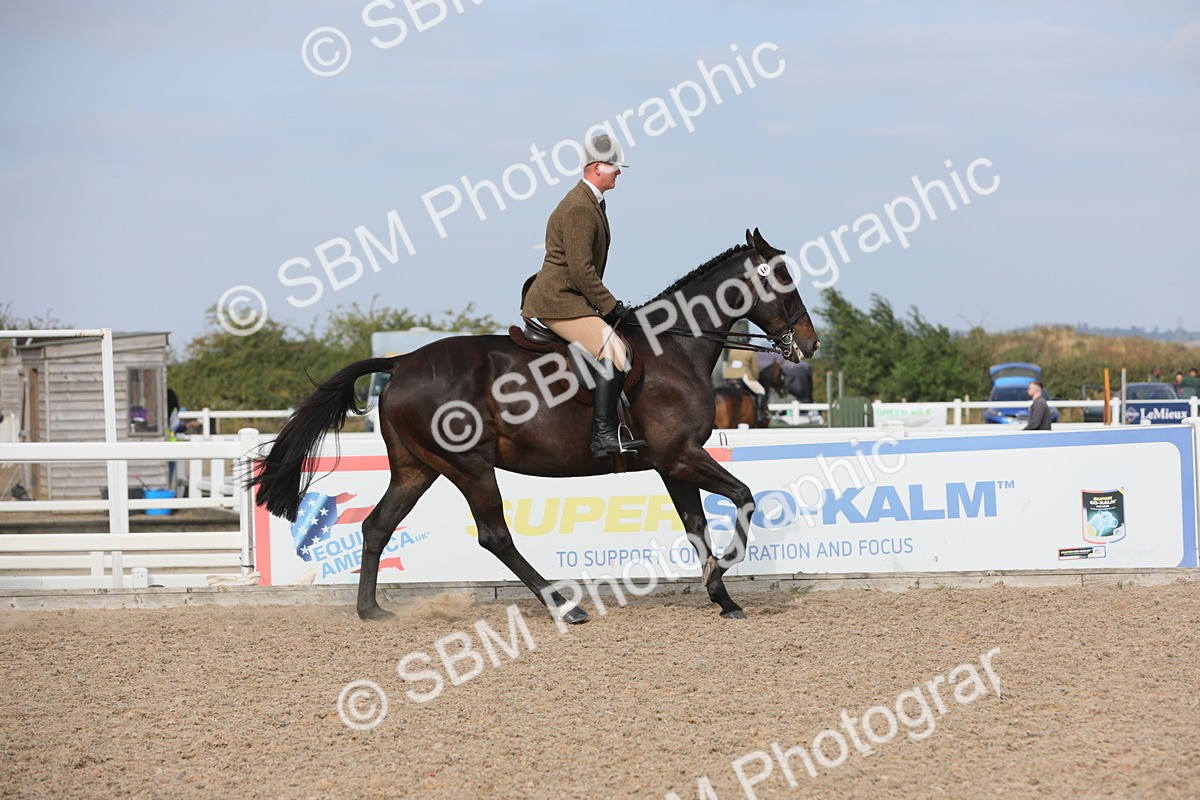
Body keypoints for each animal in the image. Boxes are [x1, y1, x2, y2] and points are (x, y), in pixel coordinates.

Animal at [252, 229, 820, 623]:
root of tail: (402, 362)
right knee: (494, 536)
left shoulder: (672, 464)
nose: (811, 345)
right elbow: (743, 497)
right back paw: (565, 605)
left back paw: (372, 611)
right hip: (470, 466)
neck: (675, 348)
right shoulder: (680, 455)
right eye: (783, 280)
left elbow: (697, 526)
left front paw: (721, 596)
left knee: (377, 525)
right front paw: (721, 574)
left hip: (418, 467)